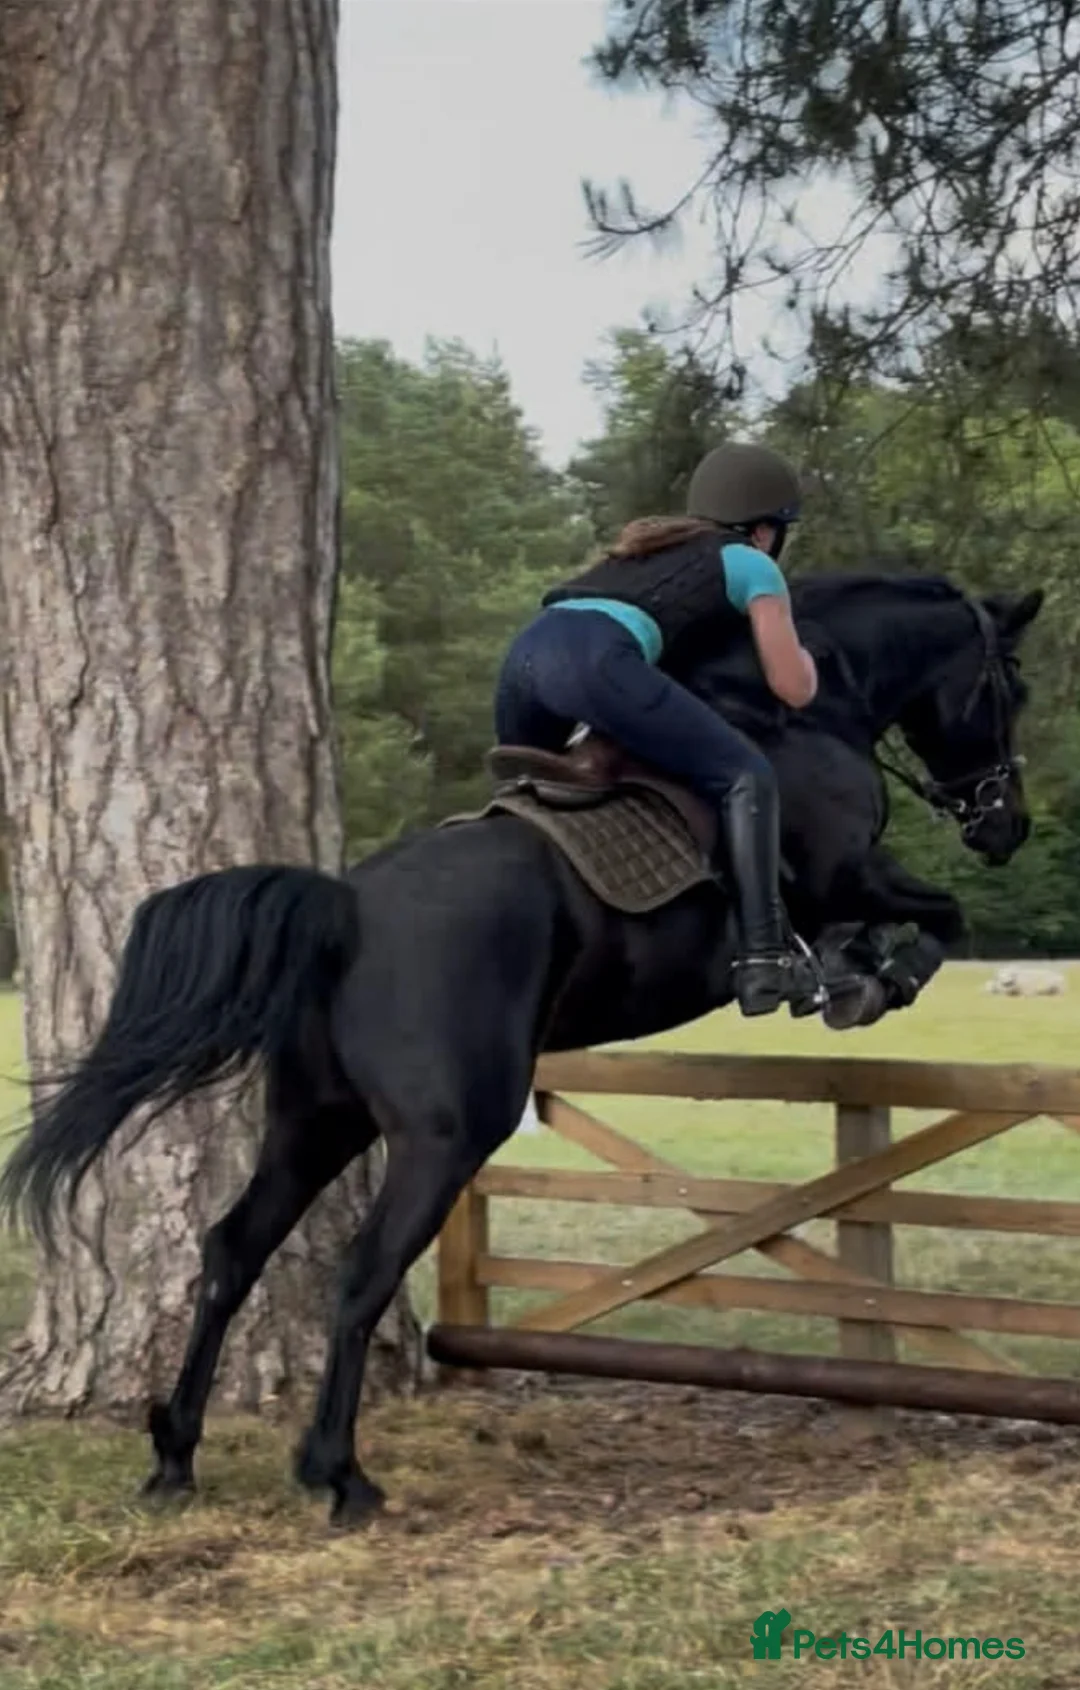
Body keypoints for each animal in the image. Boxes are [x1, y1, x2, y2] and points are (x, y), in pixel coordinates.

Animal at [0, 571, 1043, 1528]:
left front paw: (854, 971)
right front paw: (866, 980)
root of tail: (347, 908)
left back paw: (176, 1455)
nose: (1009, 828)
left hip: (312, 1120)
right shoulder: (847, 872)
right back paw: (339, 1476)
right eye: (1012, 688)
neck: (808, 704)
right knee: (362, 1274)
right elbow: (936, 919)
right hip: (445, 1135)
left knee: (231, 1250)